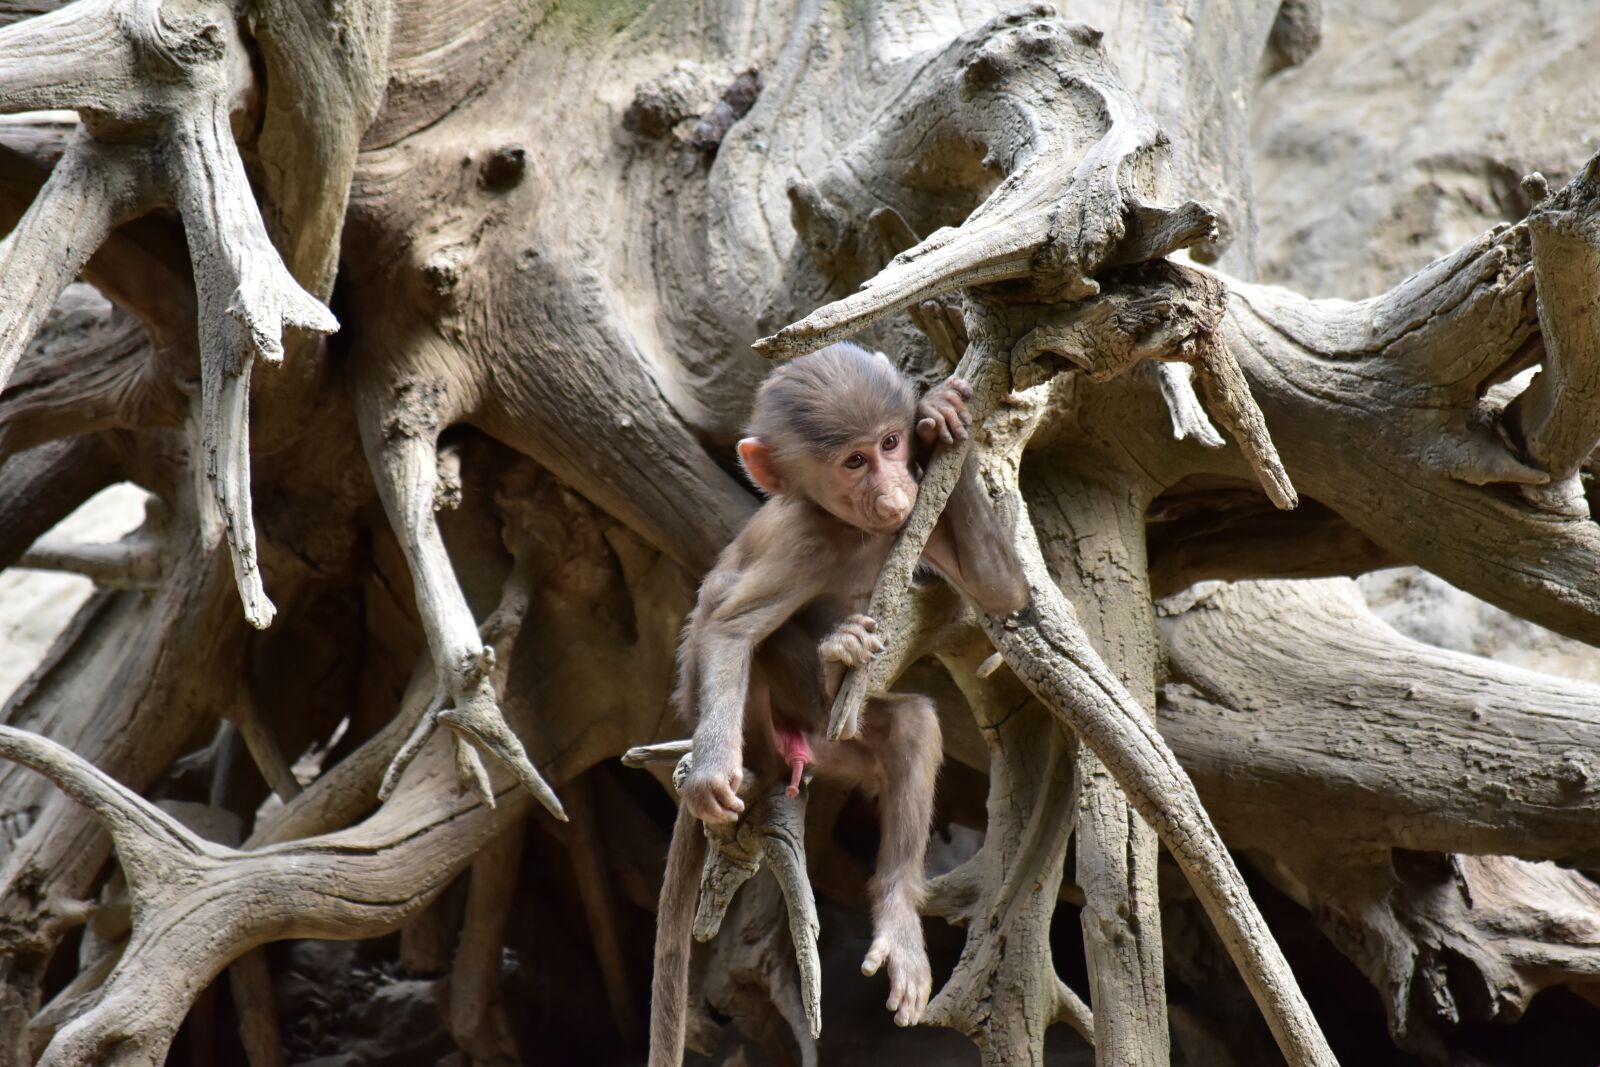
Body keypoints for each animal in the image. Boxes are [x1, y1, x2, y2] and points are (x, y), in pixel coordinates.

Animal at [651, 341, 1028, 1065]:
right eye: (854, 462)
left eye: (889, 443)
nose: (895, 488)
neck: (851, 531)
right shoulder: (805, 539)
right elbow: (728, 630)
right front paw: (711, 774)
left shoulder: (911, 527)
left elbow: (1002, 592)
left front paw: (944, 417)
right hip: (767, 727)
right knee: (753, 639)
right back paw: (821, 676)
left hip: (834, 747)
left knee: (910, 726)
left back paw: (898, 915)